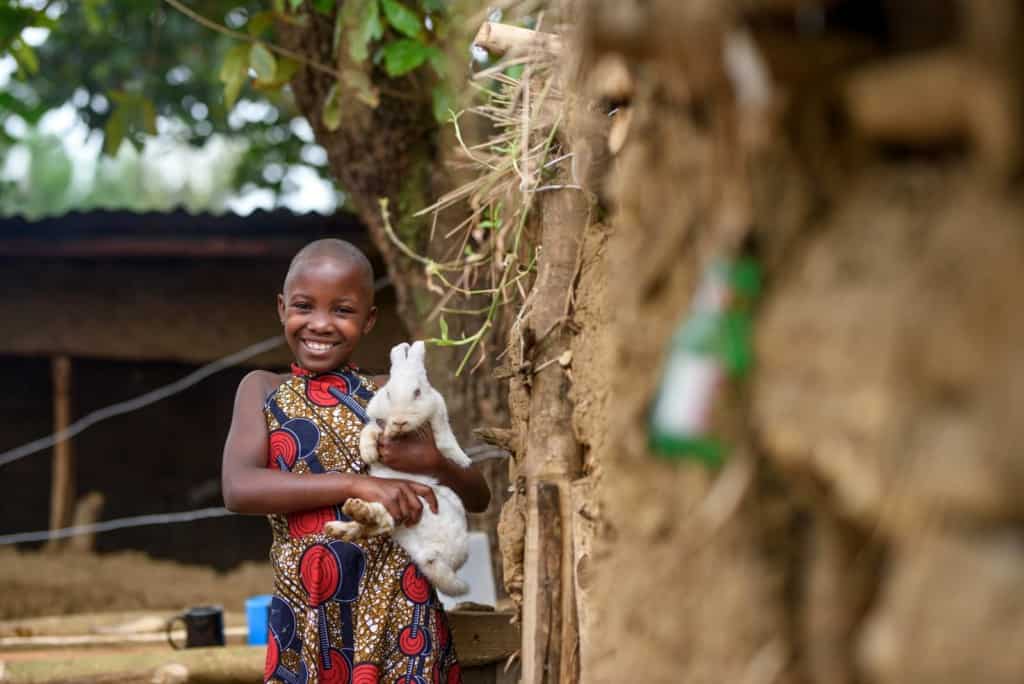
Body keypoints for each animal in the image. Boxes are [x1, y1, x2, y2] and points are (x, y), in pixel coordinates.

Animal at [323, 339, 471, 593]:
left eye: (418, 392)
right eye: (389, 393)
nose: (400, 422)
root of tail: (432, 556)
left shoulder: (437, 421)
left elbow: (444, 441)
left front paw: (461, 459)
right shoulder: (376, 422)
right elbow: (369, 430)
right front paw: (369, 452)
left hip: (426, 502)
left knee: (384, 521)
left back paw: (355, 512)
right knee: (381, 524)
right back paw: (343, 523)